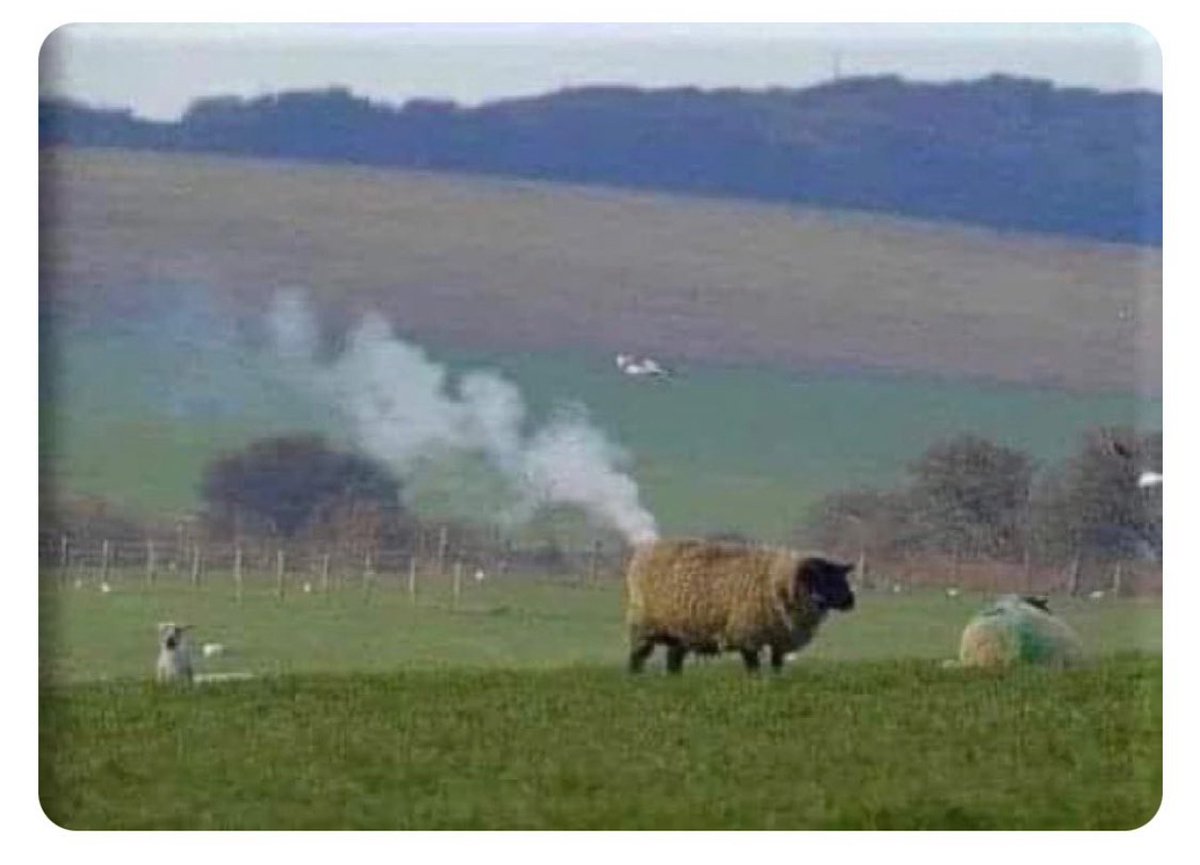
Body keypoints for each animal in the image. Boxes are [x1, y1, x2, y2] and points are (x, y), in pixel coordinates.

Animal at [624, 539, 859, 676]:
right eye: (822, 578)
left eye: (840, 577)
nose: (851, 601)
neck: (780, 581)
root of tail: (644, 553)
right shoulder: (747, 633)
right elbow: (753, 664)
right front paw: (755, 681)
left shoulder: (779, 637)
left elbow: (777, 663)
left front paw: (776, 680)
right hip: (643, 626)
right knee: (637, 655)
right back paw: (635, 677)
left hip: (680, 631)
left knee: (673, 659)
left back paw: (675, 679)